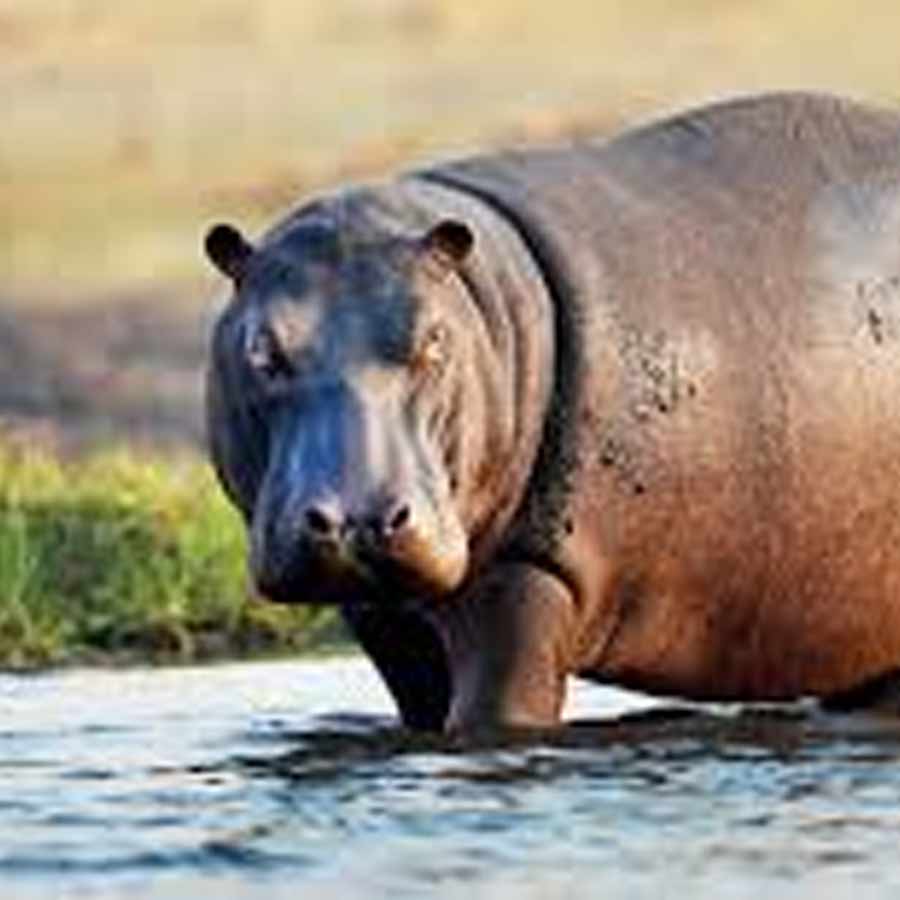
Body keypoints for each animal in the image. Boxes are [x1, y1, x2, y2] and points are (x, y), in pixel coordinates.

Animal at [204, 91, 900, 734]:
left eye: (435, 338)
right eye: (261, 348)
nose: (357, 520)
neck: (485, 305)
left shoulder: (531, 573)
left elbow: (497, 710)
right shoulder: (377, 611)